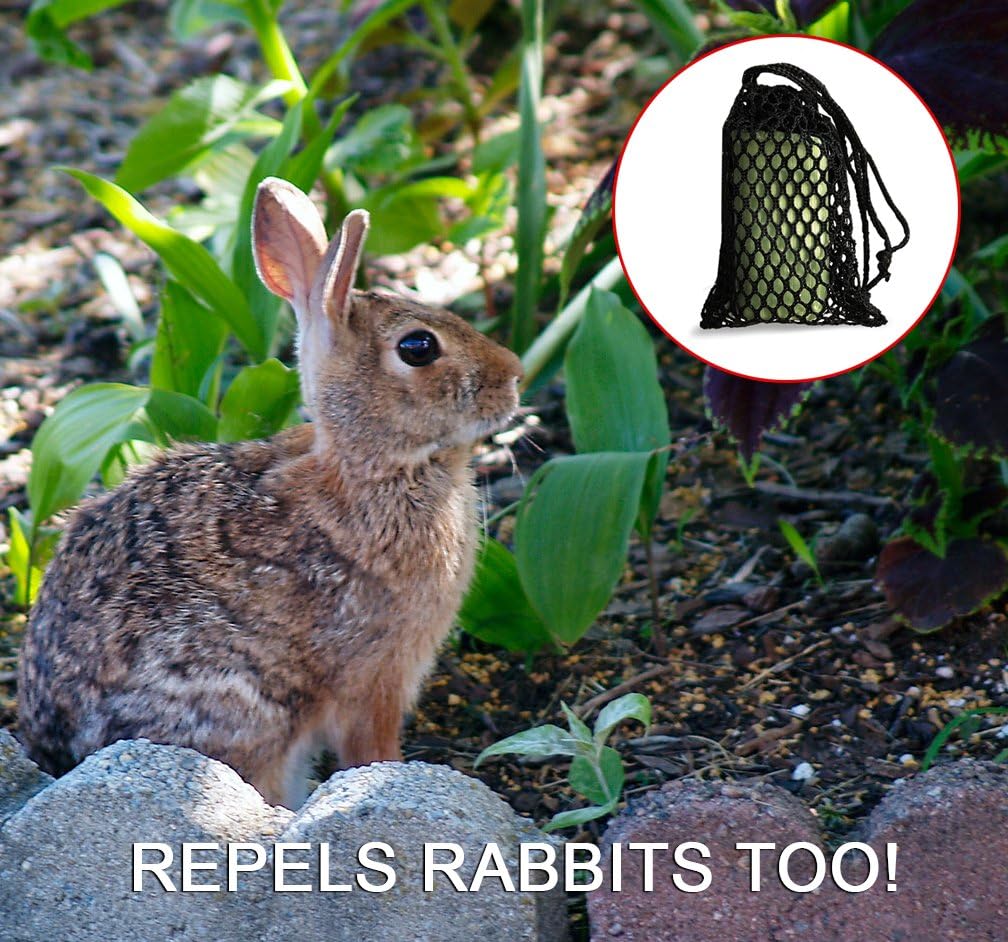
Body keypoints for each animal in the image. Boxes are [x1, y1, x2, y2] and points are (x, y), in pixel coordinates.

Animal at [17, 177, 523, 809]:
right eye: (418, 348)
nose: (515, 374)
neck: (370, 465)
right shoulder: (375, 674)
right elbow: (369, 749)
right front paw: (390, 778)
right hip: (241, 713)